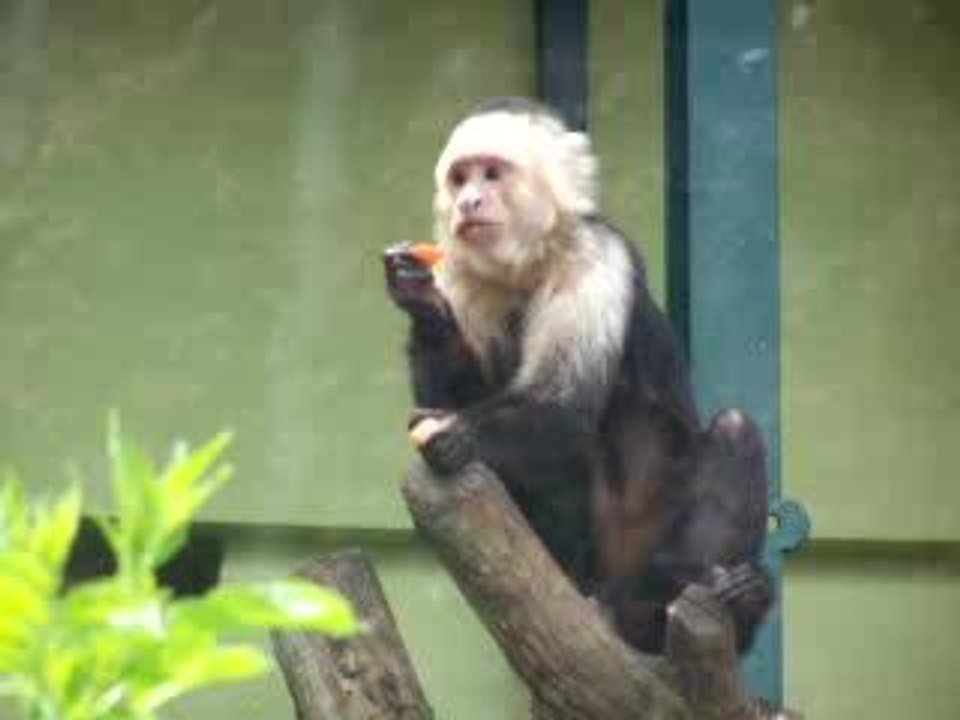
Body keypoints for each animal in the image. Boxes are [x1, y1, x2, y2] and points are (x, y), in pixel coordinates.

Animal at [385, 97, 771, 654]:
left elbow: (562, 407)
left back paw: (702, 607)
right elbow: (452, 396)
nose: (469, 202)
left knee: (733, 430)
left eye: (491, 173)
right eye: (460, 178)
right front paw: (422, 306)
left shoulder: (594, 259)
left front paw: (457, 436)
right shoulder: (461, 273)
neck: (528, 261)